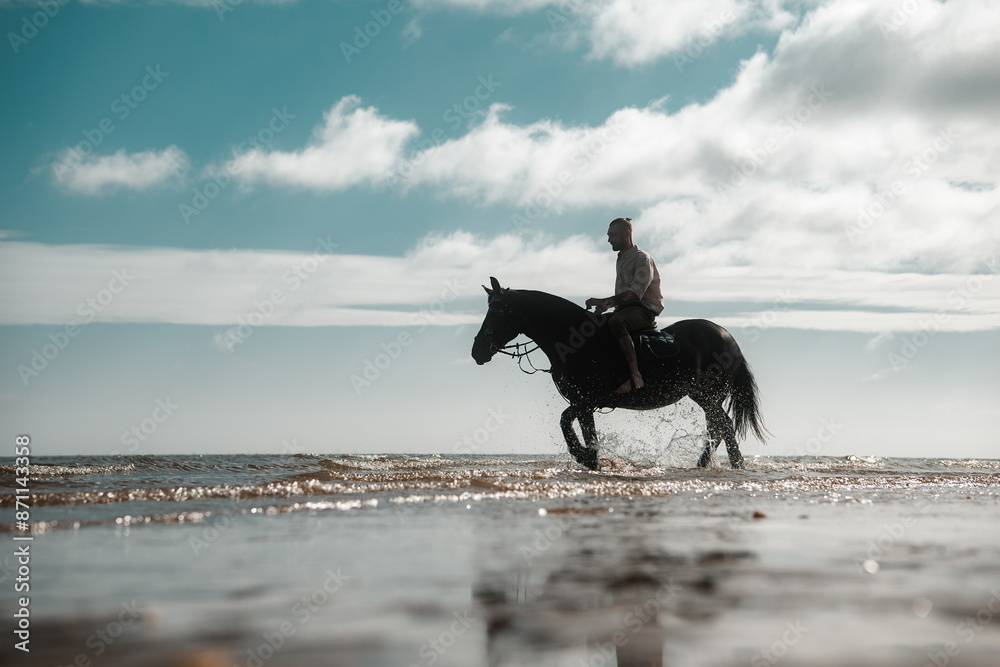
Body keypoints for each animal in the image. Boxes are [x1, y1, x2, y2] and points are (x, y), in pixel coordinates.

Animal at [471, 277, 767, 470]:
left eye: (498, 312)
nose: (477, 351)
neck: (574, 340)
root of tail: (728, 337)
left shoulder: (586, 401)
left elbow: (577, 428)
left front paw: (588, 458)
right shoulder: (582, 402)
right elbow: (569, 423)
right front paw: (586, 456)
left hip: (707, 395)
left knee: (723, 425)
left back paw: (732, 464)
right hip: (707, 398)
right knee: (717, 426)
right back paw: (709, 464)